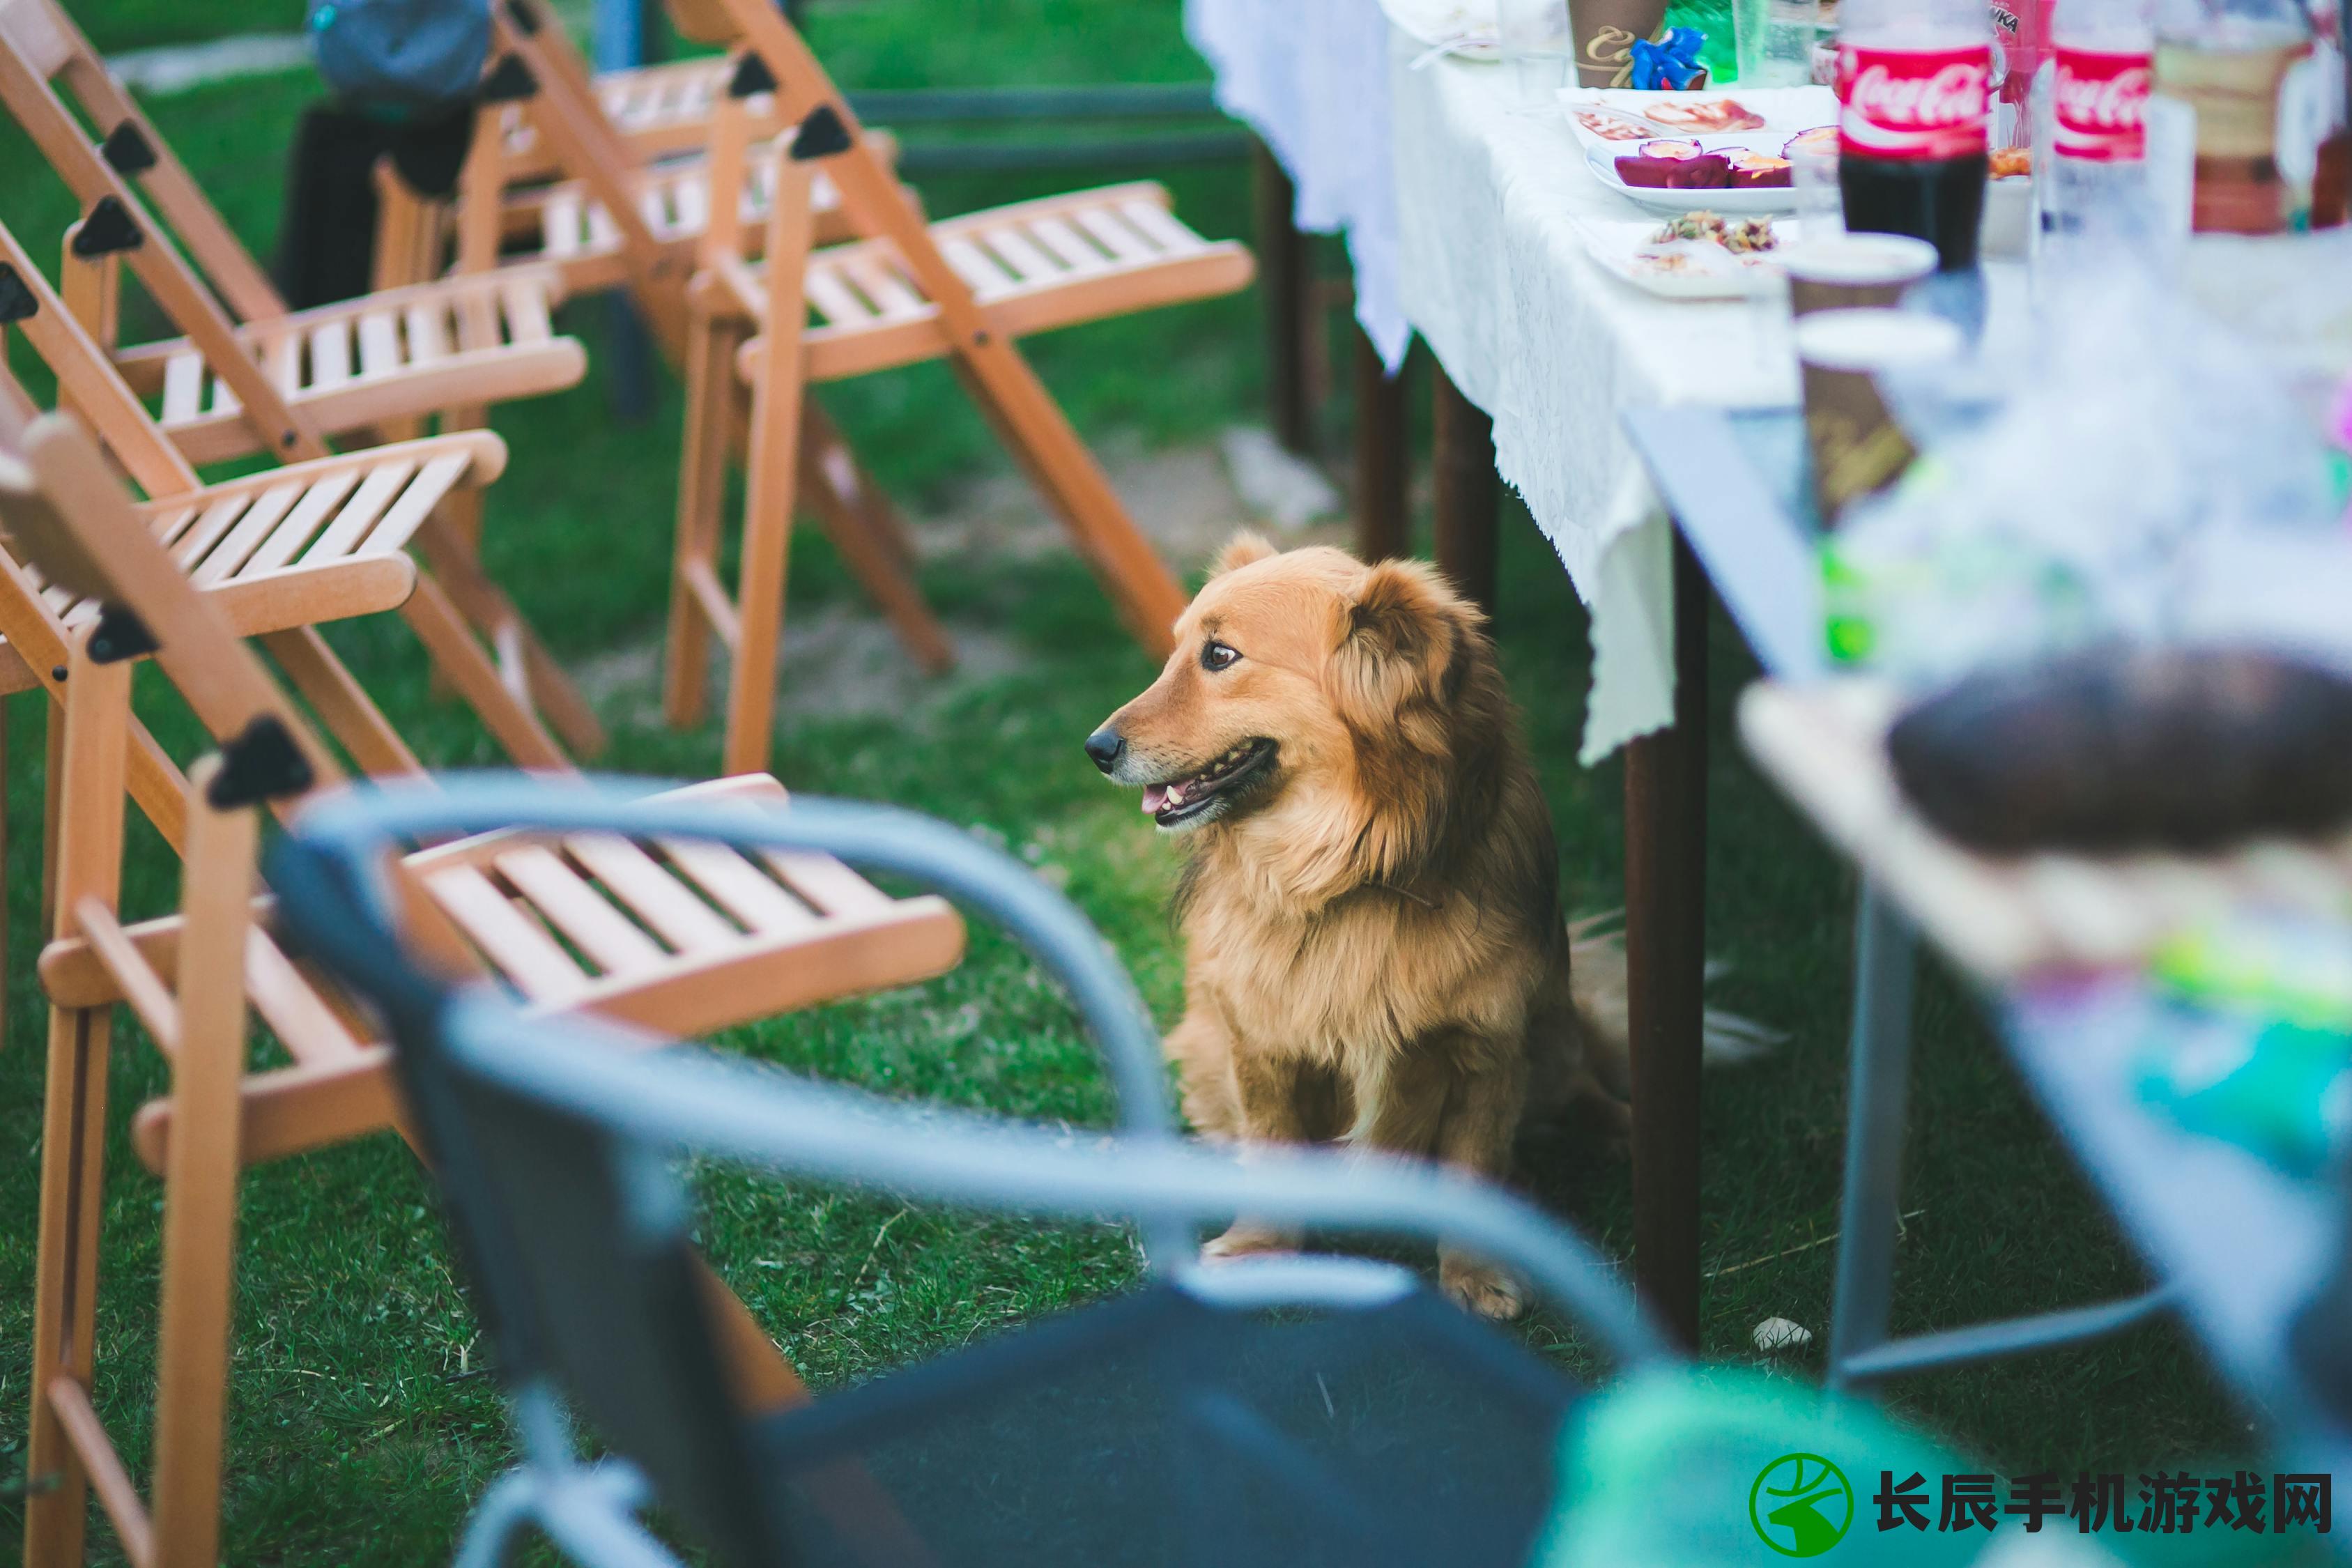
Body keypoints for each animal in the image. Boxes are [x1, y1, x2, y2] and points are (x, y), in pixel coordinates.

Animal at [1082, 533, 1637, 1316]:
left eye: (1219, 656)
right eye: (1177, 651)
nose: (1096, 749)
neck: (1346, 869)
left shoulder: (1487, 1049)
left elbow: (1474, 1165)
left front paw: (1475, 1272)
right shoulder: (1263, 1045)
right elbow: (1272, 1148)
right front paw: (1260, 1247)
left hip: (1551, 1035)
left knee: (1583, 1079)